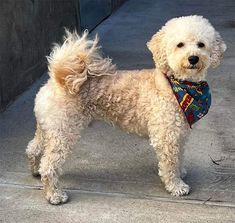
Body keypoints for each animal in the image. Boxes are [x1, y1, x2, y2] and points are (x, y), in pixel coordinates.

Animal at [25, 15, 226, 204]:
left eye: (201, 44)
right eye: (180, 45)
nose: (193, 58)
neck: (178, 84)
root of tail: (58, 78)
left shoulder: (179, 134)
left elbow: (180, 156)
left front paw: (181, 171)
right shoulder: (166, 137)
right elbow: (169, 164)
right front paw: (176, 186)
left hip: (48, 129)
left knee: (33, 149)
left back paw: (35, 171)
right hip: (63, 132)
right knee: (49, 165)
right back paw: (54, 195)